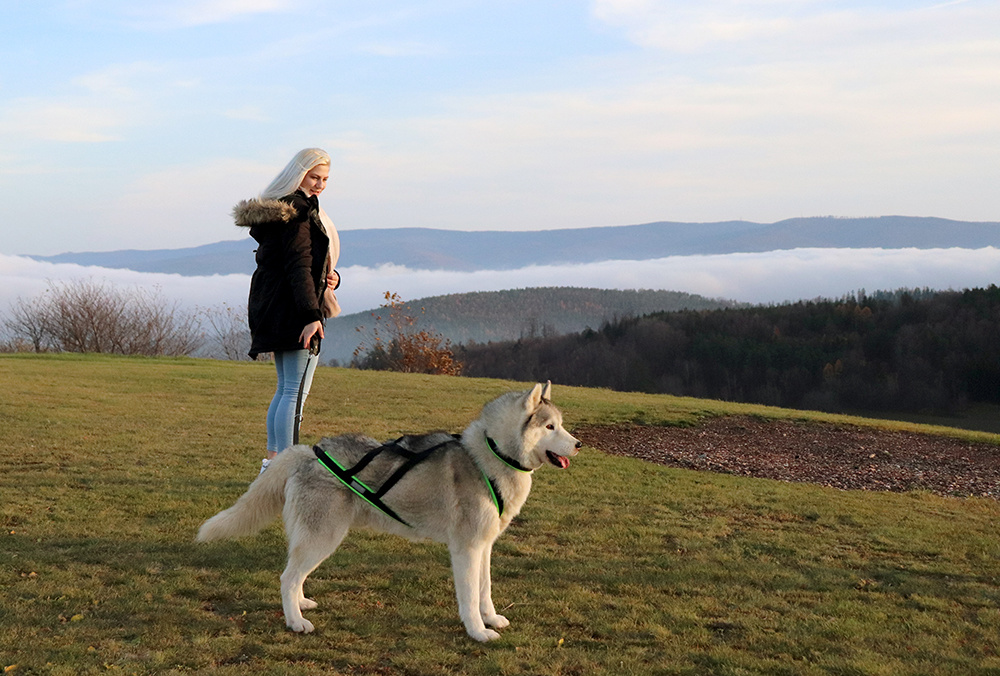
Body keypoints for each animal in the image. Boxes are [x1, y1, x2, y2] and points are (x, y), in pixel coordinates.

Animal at [196, 382, 584, 640]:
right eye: (550, 427)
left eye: (561, 424)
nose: (580, 444)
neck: (490, 456)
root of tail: (307, 451)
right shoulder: (466, 549)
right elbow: (470, 597)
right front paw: (478, 632)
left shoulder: (484, 546)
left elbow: (484, 591)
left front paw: (491, 619)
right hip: (324, 537)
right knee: (287, 578)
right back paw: (295, 622)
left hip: (314, 538)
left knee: (295, 576)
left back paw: (301, 603)